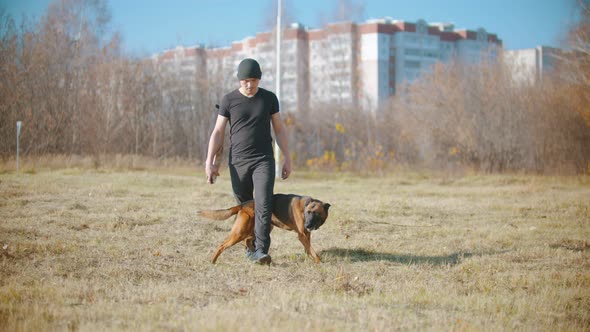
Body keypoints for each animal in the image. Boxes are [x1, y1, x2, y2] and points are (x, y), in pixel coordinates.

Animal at [198, 193, 328, 264]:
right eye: (308, 212)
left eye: (316, 213)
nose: (307, 225)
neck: (304, 206)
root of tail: (242, 204)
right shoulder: (302, 235)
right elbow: (312, 250)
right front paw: (319, 262)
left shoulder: (306, 235)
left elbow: (308, 249)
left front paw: (310, 259)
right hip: (240, 232)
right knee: (222, 245)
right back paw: (213, 261)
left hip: (259, 228)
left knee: (247, 240)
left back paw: (255, 253)